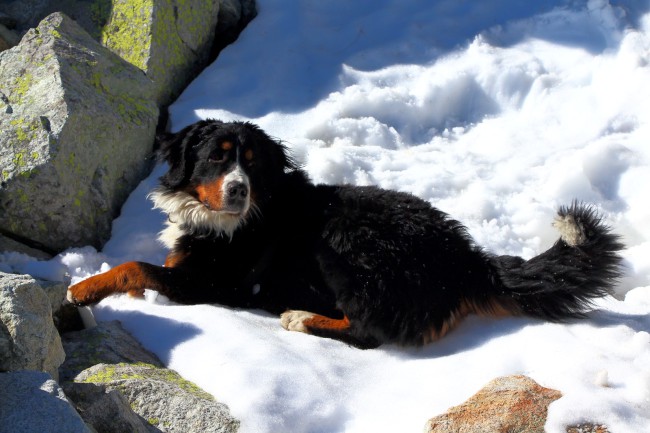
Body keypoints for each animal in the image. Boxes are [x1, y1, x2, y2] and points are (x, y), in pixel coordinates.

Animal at [67, 118, 624, 348]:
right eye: (215, 158)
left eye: (252, 162)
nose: (238, 191)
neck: (236, 221)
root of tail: (466, 256)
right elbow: (146, 266)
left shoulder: (212, 283)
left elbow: (132, 265)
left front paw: (82, 289)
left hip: (344, 242)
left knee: (368, 331)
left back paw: (299, 318)